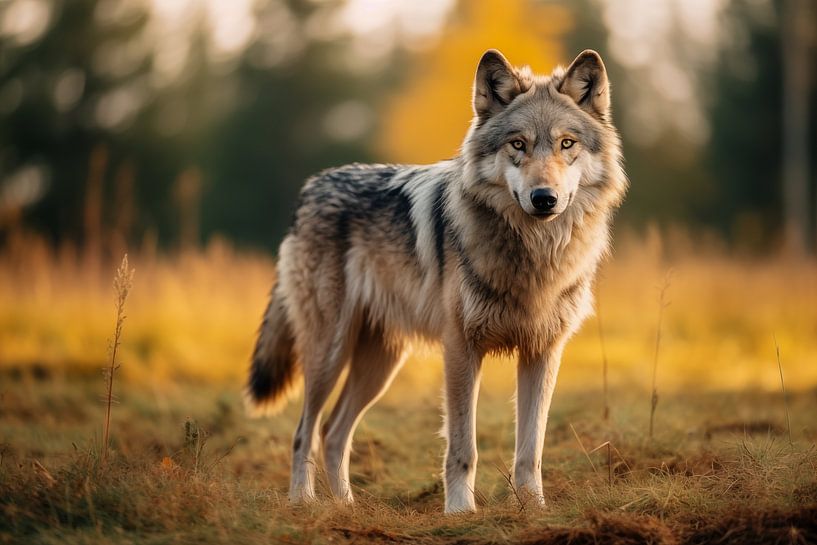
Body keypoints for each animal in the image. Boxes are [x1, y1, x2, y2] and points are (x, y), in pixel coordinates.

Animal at [246, 49, 628, 513]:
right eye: (517, 144)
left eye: (566, 144)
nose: (544, 198)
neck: (533, 254)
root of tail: (309, 190)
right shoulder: (461, 348)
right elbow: (463, 446)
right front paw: (461, 511)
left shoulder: (543, 351)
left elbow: (530, 448)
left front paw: (533, 508)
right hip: (329, 353)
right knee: (305, 431)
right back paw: (303, 503)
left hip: (380, 365)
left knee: (332, 432)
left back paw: (346, 506)